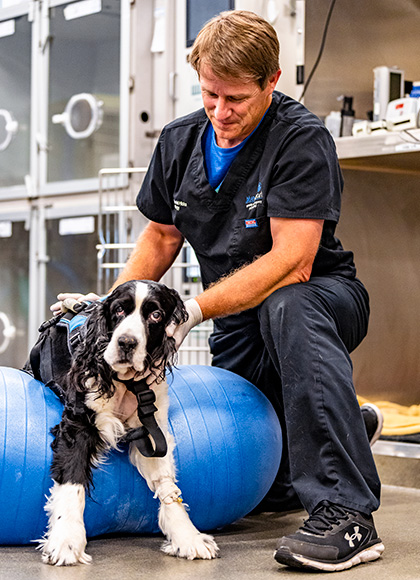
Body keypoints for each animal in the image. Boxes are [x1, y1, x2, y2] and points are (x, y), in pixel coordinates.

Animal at [23, 280, 218, 568]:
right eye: (118, 310)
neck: (126, 382)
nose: (127, 342)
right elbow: (72, 483)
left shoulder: (150, 428)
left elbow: (166, 483)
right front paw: (66, 541)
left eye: (156, 315)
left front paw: (187, 536)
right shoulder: (77, 425)